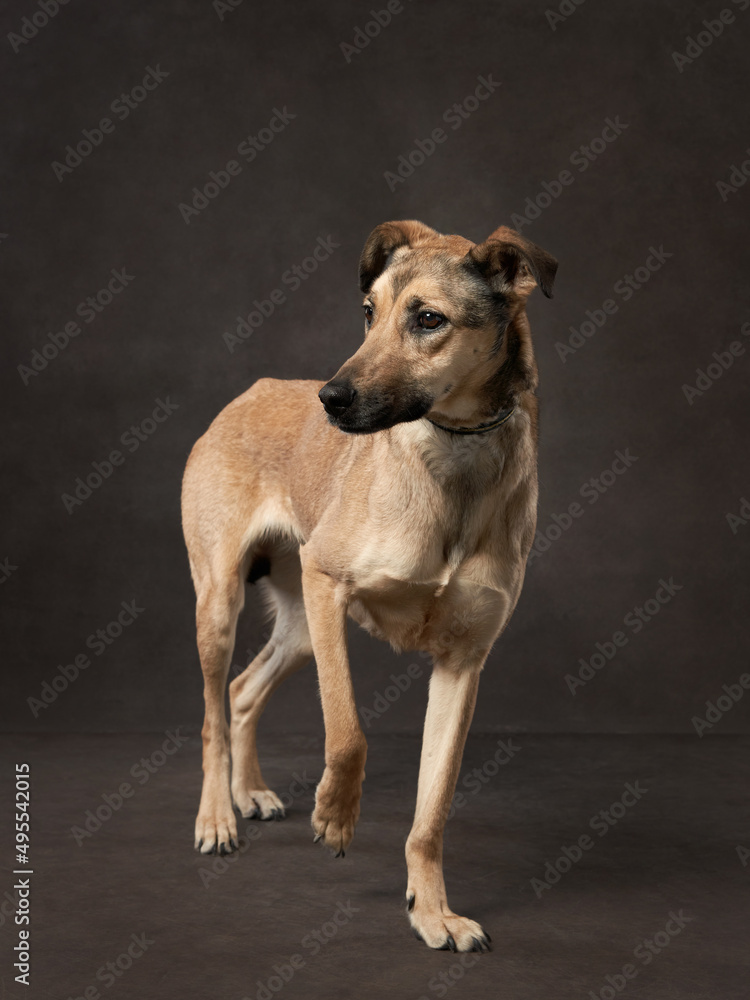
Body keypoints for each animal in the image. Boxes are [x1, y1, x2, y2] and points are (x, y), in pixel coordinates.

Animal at [182, 221, 560, 952]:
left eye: (428, 319)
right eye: (368, 313)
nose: (331, 399)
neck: (456, 456)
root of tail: (251, 391)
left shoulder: (463, 665)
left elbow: (432, 810)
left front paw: (431, 910)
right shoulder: (328, 580)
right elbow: (347, 727)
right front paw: (335, 813)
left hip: (301, 628)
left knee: (242, 692)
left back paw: (249, 792)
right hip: (223, 603)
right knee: (213, 712)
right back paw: (217, 818)